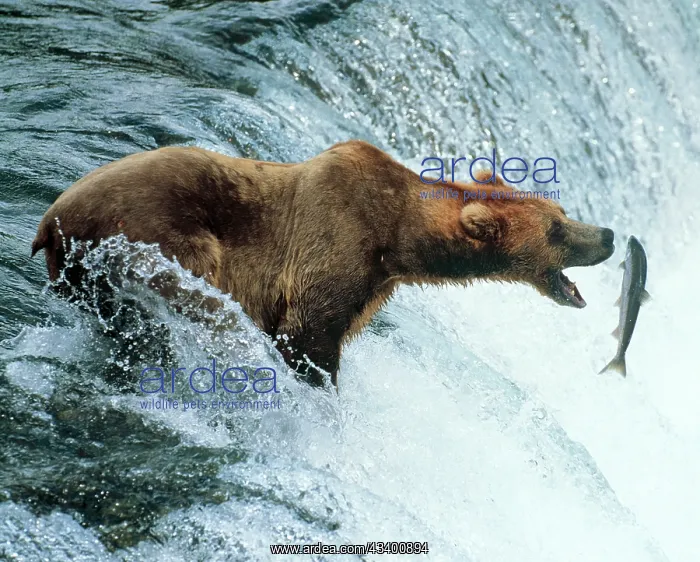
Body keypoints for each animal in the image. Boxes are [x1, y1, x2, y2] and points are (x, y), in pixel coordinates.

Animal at [31, 140, 615, 387]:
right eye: (558, 230)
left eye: (562, 212)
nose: (607, 236)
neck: (398, 235)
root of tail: (50, 218)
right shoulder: (334, 243)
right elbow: (310, 333)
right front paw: (320, 386)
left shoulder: (373, 279)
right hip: (157, 235)